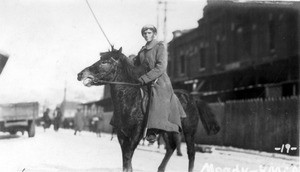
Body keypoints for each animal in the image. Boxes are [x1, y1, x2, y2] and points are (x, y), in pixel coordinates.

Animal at [77, 47, 218, 172]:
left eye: (105, 62)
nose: (80, 74)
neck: (130, 99)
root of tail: (192, 98)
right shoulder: (121, 135)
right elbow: (126, 161)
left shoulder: (136, 134)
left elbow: (127, 158)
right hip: (167, 131)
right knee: (171, 148)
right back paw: (160, 169)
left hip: (189, 131)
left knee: (191, 153)